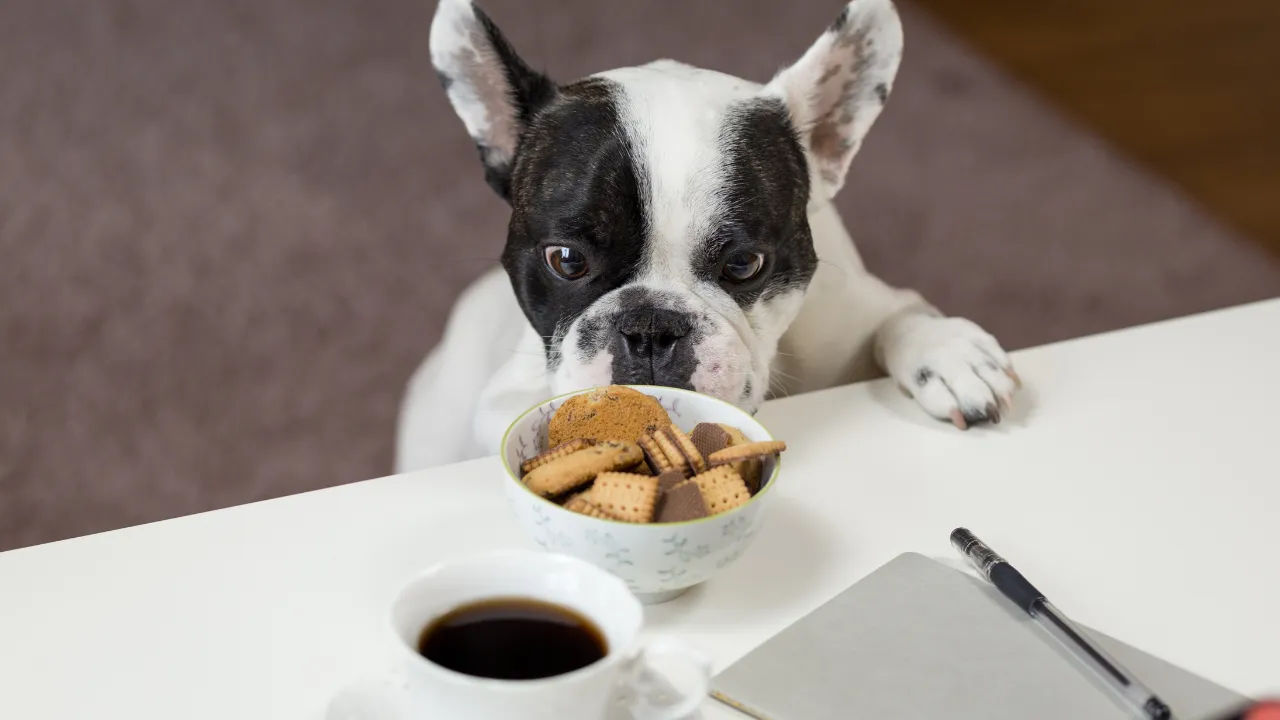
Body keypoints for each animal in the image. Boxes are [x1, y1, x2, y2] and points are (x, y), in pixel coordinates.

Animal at [391, 0, 1018, 471]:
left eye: (744, 265)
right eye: (566, 260)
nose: (649, 328)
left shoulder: (854, 312)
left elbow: (901, 315)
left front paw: (949, 354)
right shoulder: (506, 394)